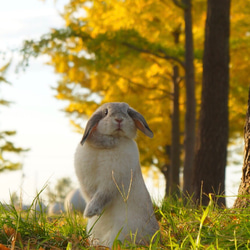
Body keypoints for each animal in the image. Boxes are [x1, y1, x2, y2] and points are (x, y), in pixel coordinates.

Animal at [74, 101, 160, 248]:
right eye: (105, 112)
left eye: (127, 111)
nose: (119, 119)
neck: (108, 144)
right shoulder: (86, 181)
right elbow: (90, 194)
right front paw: (92, 213)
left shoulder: (112, 181)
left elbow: (102, 195)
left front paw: (90, 212)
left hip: (122, 232)